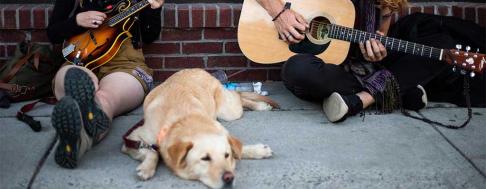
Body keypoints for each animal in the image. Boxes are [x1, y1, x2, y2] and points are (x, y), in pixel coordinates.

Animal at [122, 68, 278, 188]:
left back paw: (260, 105)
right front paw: (146, 168)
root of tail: (200, 69)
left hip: (228, 112)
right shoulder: (131, 140)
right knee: (239, 97)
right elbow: (152, 152)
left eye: (226, 155)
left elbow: (239, 148)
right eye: (205, 158)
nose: (229, 178)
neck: (181, 120)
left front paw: (258, 150)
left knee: (239, 97)